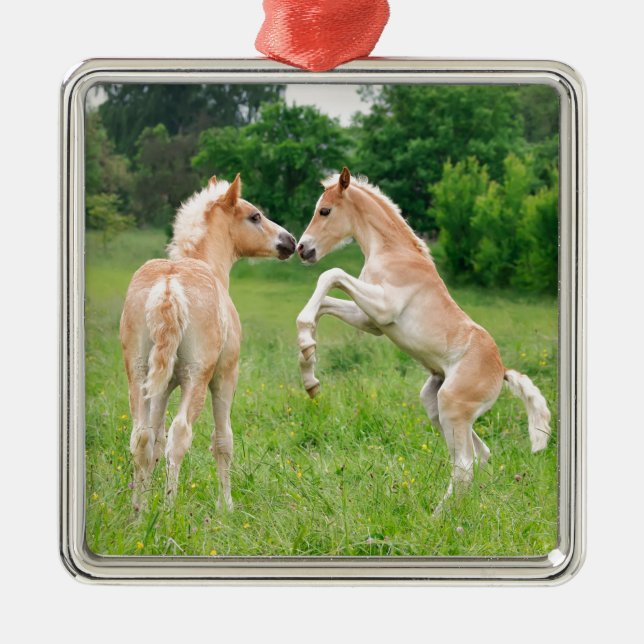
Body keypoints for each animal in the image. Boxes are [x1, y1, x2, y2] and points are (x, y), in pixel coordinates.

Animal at [120, 174, 296, 511]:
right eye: (255, 216)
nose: (290, 241)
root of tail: (169, 286)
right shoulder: (225, 376)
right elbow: (222, 440)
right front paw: (226, 505)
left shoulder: (163, 386)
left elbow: (155, 440)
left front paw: (145, 501)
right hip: (197, 377)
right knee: (180, 434)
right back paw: (168, 510)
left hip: (138, 374)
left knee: (141, 437)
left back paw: (138, 511)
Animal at [295, 167, 551, 513]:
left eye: (325, 211)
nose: (302, 248)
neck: (393, 252)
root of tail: (502, 371)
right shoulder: (371, 320)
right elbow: (325, 303)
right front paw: (309, 367)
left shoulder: (383, 307)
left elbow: (330, 275)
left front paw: (307, 348)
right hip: (436, 403)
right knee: (479, 456)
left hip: (452, 406)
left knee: (464, 465)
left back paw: (437, 516)